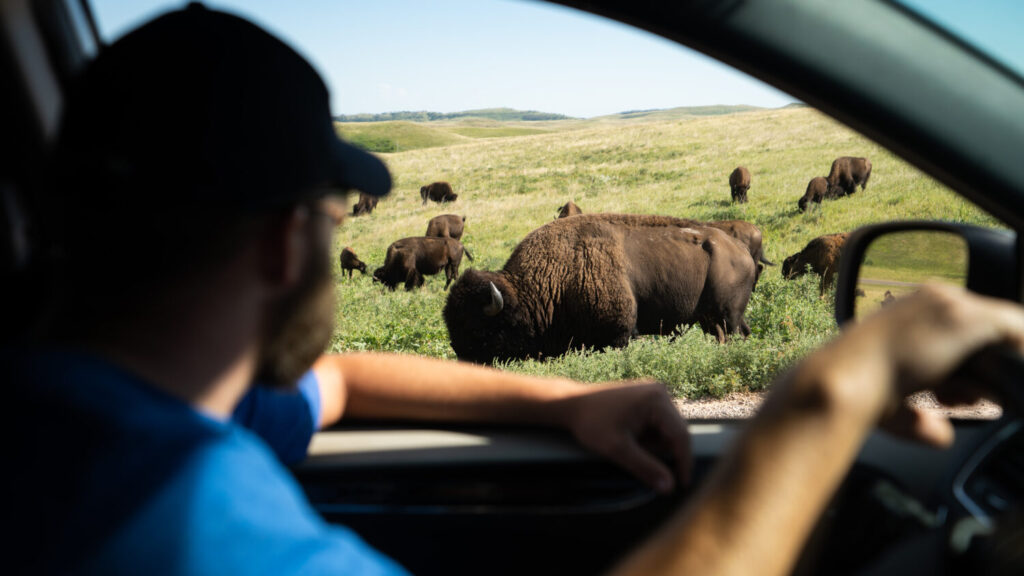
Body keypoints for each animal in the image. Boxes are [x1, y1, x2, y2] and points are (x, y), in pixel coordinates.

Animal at [444, 213, 757, 360]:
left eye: (477, 329)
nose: (463, 359)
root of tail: (741, 250)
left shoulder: (618, 334)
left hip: (727, 315)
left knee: (736, 334)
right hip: (712, 318)